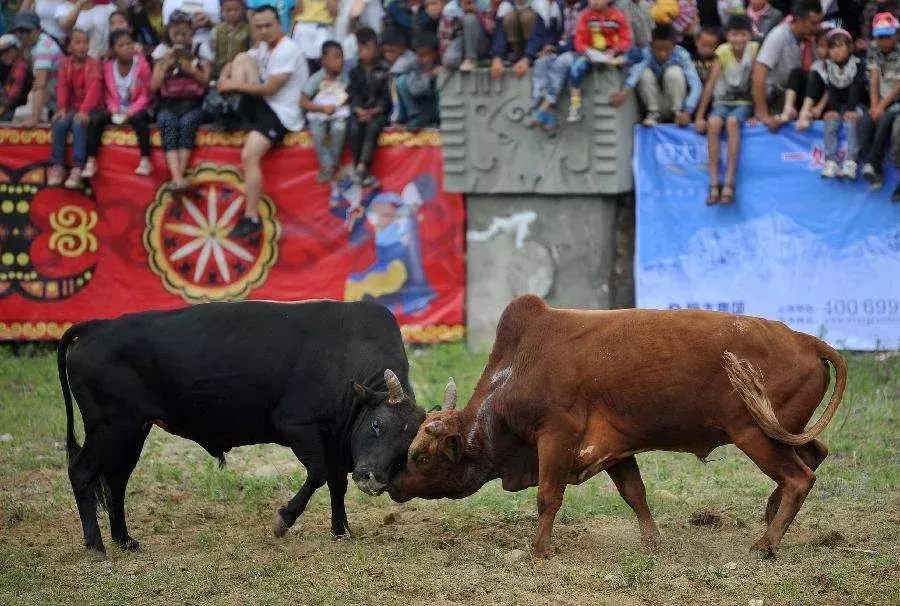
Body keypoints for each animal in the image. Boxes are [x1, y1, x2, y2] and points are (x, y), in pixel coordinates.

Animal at [58, 302, 428, 552]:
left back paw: (124, 540)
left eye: (407, 448)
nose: (373, 479)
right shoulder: (298, 426)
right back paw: (96, 546)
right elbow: (319, 475)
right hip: (111, 428)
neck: (346, 353)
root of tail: (98, 327)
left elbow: (337, 484)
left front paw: (341, 531)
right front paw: (283, 520)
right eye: (377, 424)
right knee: (82, 472)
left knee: (115, 482)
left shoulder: (335, 441)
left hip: (131, 431)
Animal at [390, 296, 848, 560]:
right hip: (781, 432)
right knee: (815, 453)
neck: (519, 367)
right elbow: (634, 493)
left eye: (419, 455)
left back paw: (767, 543)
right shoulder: (615, 449)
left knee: (798, 477)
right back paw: (771, 517)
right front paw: (653, 542)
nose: (391, 484)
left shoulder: (556, 436)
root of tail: (806, 340)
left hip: (755, 435)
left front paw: (539, 551)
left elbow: (547, 497)